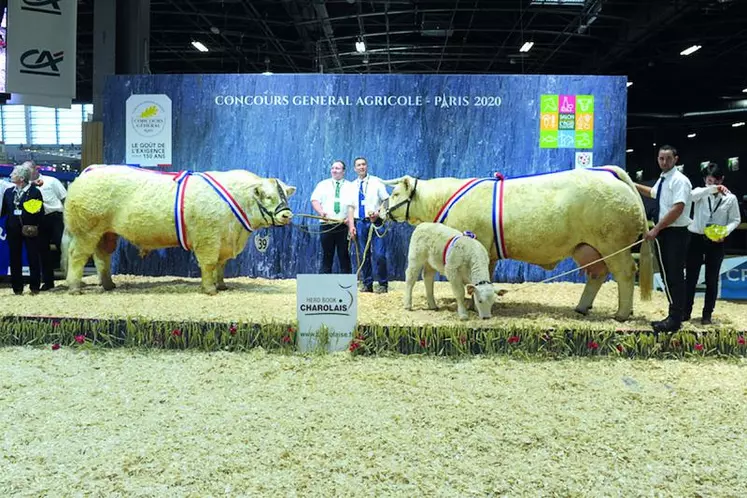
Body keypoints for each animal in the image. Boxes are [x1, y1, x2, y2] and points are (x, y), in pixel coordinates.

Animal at [382, 166, 652, 322]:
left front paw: (471, 305)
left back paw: (621, 314)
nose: (378, 213)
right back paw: (582, 308)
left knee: (625, 273)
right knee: (597, 274)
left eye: (395, 194)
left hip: (613, 244)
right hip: (587, 248)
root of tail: (611, 174)